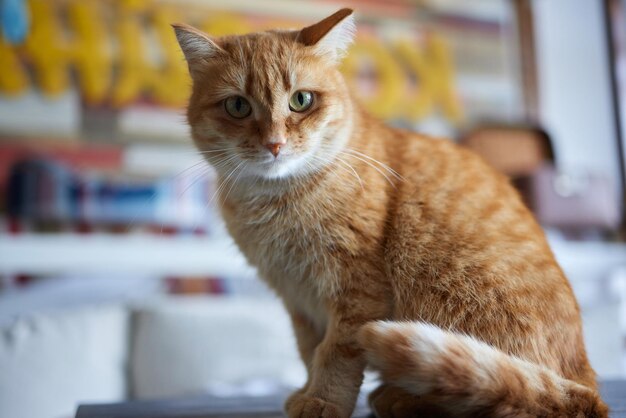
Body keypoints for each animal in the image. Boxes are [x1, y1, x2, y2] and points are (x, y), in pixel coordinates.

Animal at [173, 9, 608, 418]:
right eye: (237, 106)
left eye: (301, 100)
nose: (275, 143)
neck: (275, 202)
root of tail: (589, 390)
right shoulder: (298, 301)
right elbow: (309, 351)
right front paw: (308, 391)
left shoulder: (357, 290)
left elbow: (336, 353)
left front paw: (324, 400)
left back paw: (401, 398)